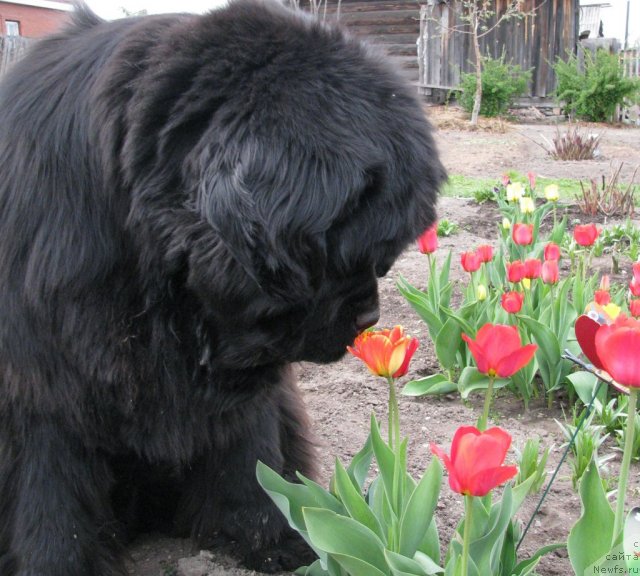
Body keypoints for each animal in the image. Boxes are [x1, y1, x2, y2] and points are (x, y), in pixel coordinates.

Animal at [0, 2, 444, 572]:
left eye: (383, 259)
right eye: (343, 253)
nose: (370, 319)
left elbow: (250, 455)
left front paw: (283, 540)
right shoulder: (43, 377)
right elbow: (50, 482)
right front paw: (57, 561)